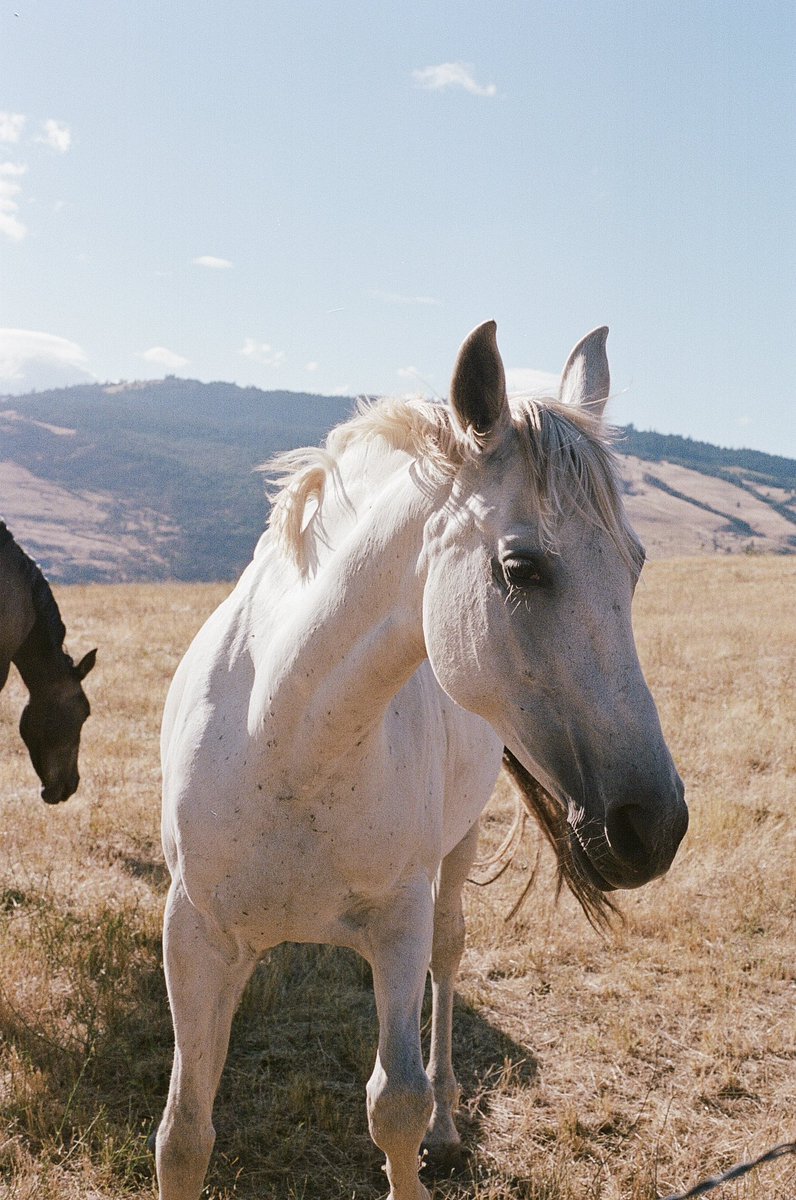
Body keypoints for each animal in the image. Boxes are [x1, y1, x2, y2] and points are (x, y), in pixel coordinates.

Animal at [155, 321, 688, 1200]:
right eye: (521, 568)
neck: (288, 743)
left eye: (637, 563)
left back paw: (446, 1124)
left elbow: (394, 1106)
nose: (655, 826)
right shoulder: (195, 934)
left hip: (456, 850)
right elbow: (183, 1135)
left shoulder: (396, 926)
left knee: (449, 954)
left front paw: (423, 1127)